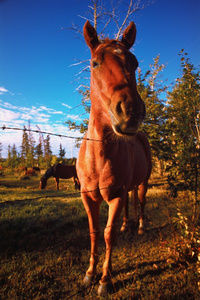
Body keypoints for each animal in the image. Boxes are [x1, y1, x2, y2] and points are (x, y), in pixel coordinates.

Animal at [76, 21, 152, 296]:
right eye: (95, 63)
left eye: (135, 62)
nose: (131, 112)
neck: (99, 156)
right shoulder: (88, 197)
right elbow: (94, 232)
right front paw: (89, 274)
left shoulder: (115, 196)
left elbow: (108, 236)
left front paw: (105, 280)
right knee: (129, 206)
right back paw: (126, 224)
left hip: (142, 184)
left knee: (140, 202)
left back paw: (139, 227)